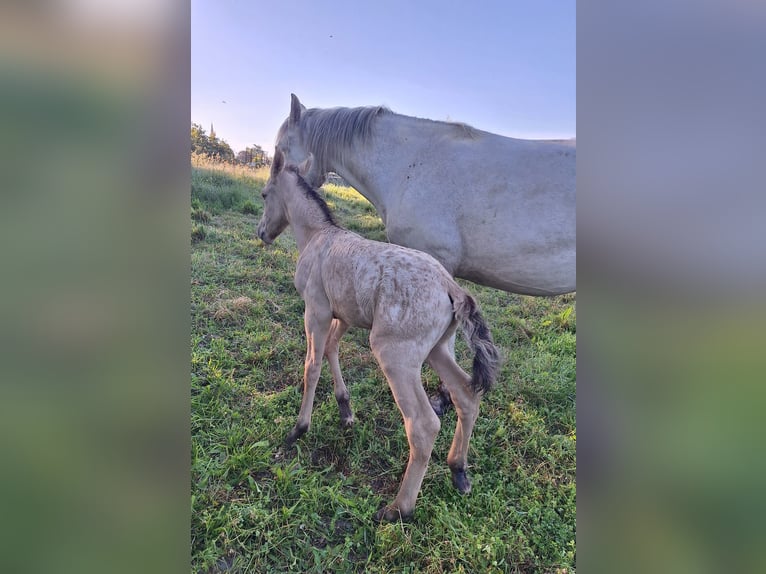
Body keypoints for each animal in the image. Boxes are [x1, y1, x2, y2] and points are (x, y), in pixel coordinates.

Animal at [258, 151, 504, 524]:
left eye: (264, 194)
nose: (262, 233)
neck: (318, 236)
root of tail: (452, 287)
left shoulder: (315, 310)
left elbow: (312, 365)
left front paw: (299, 428)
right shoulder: (345, 314)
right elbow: (332, 349)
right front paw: (345, 409)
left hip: (394, 354)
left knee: (423, 424)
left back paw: (398, 508)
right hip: (438, 349)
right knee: (466, 395)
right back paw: (458, 471)